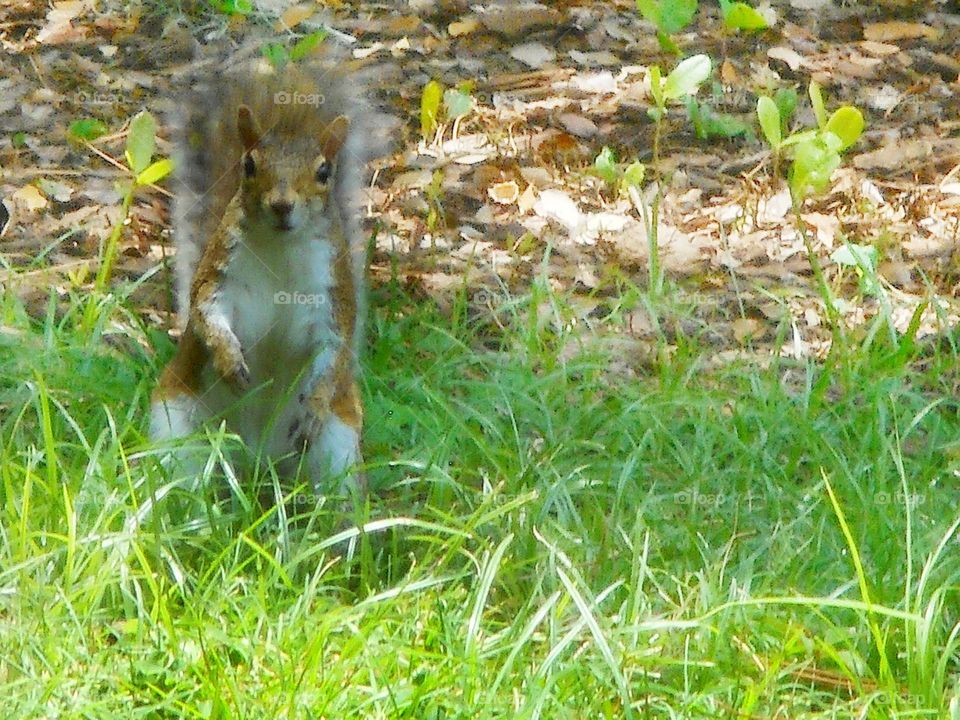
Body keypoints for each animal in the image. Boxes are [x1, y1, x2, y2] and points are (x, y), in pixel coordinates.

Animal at [150, 56, 378, 500]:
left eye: (324, 172)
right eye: (249, 164)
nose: (282, 205)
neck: (280, 249)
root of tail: (257, 463)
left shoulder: (332, 296)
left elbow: (334, 350)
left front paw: (315, 404)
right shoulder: (218, 274)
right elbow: (206, 313)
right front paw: (229, 359)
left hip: (338, 446)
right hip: (175, 425)